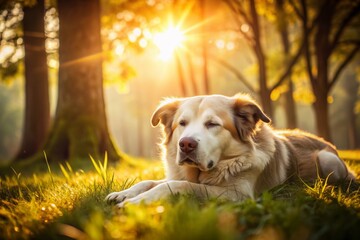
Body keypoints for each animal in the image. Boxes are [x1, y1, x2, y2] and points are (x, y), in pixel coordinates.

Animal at [106, 94, 354, 206]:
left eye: (212, 124)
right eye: (182, 123)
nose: (185, 144)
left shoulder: (238, 195)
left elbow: (177, 185)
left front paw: (135, 202)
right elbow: (151, 181)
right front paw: (124, 193)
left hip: (328, 161)